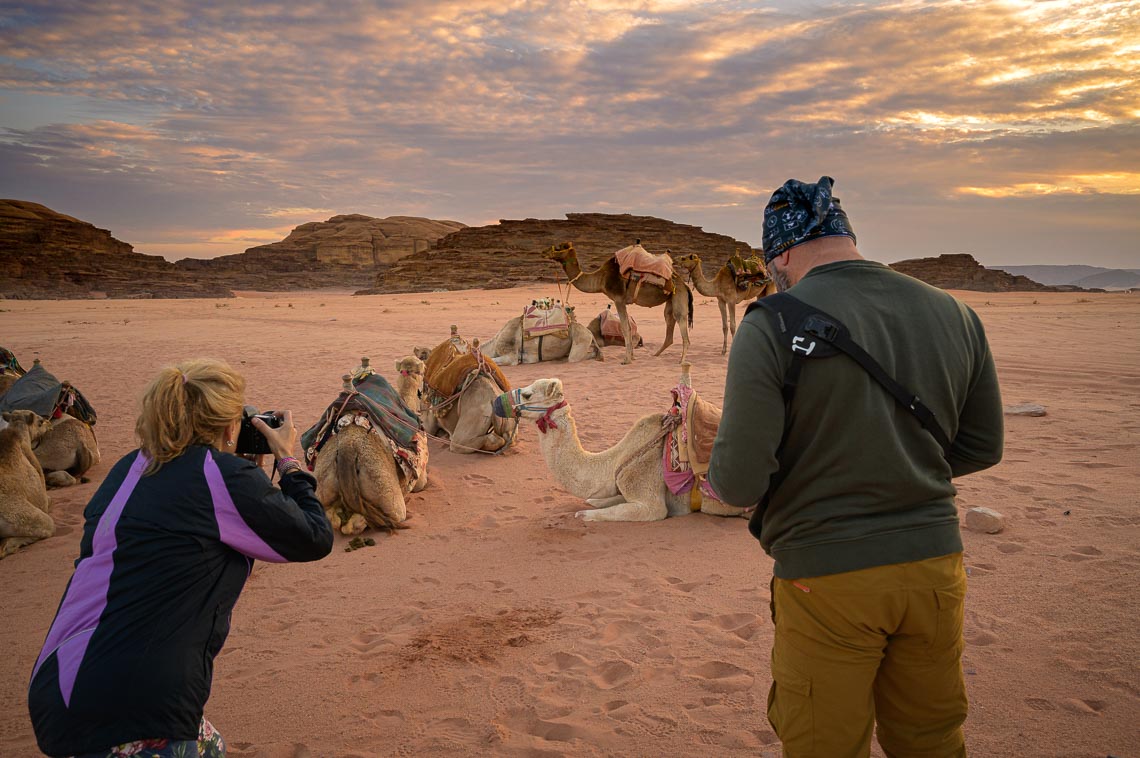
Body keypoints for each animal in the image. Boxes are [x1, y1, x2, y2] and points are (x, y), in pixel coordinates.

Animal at [544, 239, 693, 364]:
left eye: (561, 247)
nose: (545, 252)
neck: (601, 279)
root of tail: (684, 285)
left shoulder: (618, 299)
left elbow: (625, 328)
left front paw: (626, 360)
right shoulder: (623, 301)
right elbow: (628, 327)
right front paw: (632, 357)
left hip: (679, 296)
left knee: (682, 324)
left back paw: (682, 361)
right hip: (670, 301)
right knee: (669, 323)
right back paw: (655, 355)